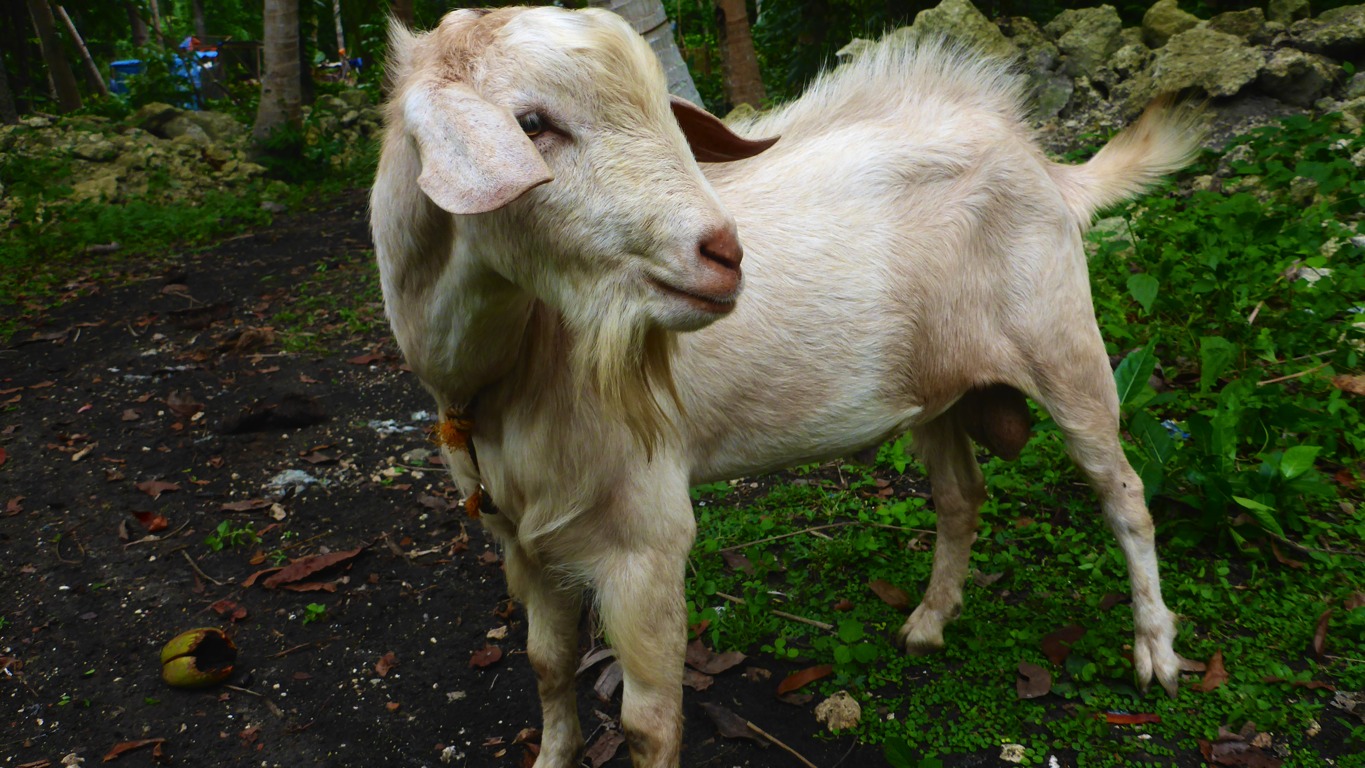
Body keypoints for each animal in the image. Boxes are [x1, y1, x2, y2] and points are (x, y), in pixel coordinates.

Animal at [368, 7, 1201, 768]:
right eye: (532, 123)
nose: (724, 253)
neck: (505, 373)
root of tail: (1044, 164)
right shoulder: (516, 534)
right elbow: (546, 664)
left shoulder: (646, 534)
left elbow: (647, 723)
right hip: (935, 387)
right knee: (961, 494)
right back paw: (928, 623)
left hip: (1065, 347)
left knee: (1125, 495)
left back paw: (1155, 655)